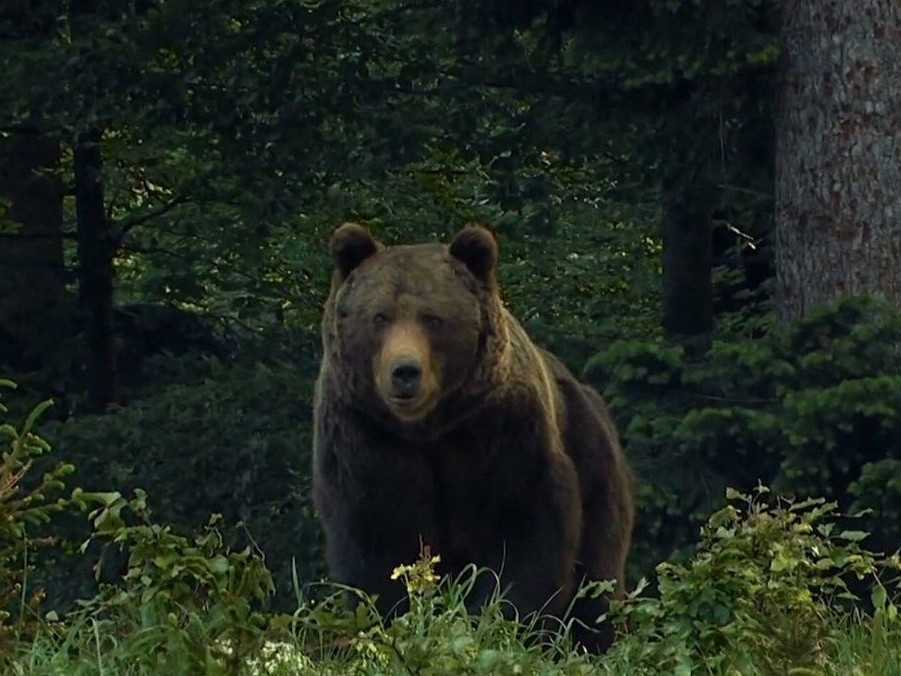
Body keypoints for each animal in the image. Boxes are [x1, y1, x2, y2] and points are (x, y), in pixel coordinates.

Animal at [312, 222, 636, 648]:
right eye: (379, 316)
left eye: (433, 318)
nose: (405, 372)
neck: (429, 429)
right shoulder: (367, 437)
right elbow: (377, 540)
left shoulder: (501, 433)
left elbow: (522, 534)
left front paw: (502, 623)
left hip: (594, 463)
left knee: (598, 581)